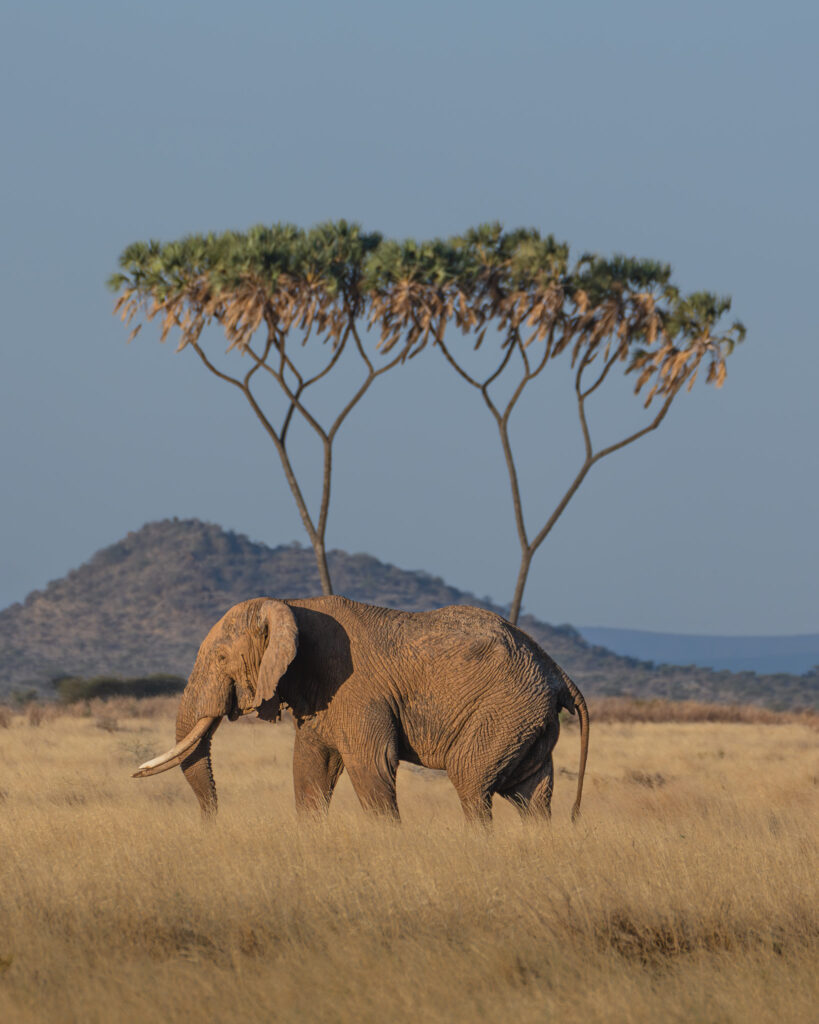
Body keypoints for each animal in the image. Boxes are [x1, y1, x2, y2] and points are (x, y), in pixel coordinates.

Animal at [134, 596, 589, 823]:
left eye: (222, 658)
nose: (212, 822)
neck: (289, 604)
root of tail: (558, 673)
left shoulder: (355, 689)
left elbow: (372, 764)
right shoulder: (320, 699)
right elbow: (310, 767)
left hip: (505, 710)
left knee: (471, 781)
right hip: (527, 719)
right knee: (532, 795)